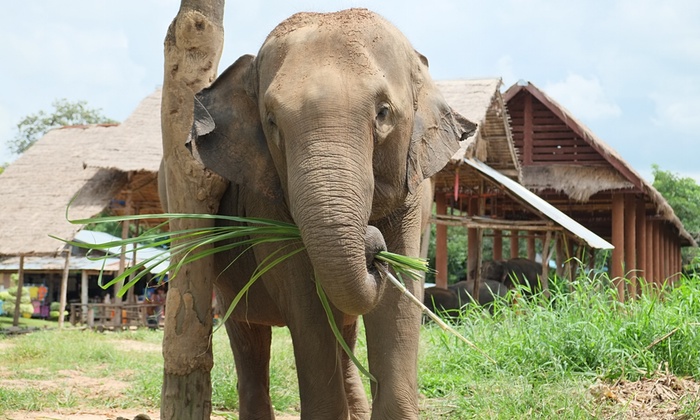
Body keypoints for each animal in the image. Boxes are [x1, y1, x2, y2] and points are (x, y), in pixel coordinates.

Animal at [185, 9, 476, 420]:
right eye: (271, 121)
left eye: (383, 113)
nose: (371, 245)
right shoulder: (265, 199)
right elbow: (304, 299)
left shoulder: (415, 193)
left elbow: (400, 293)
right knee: (248, 336)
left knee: (345, 331)